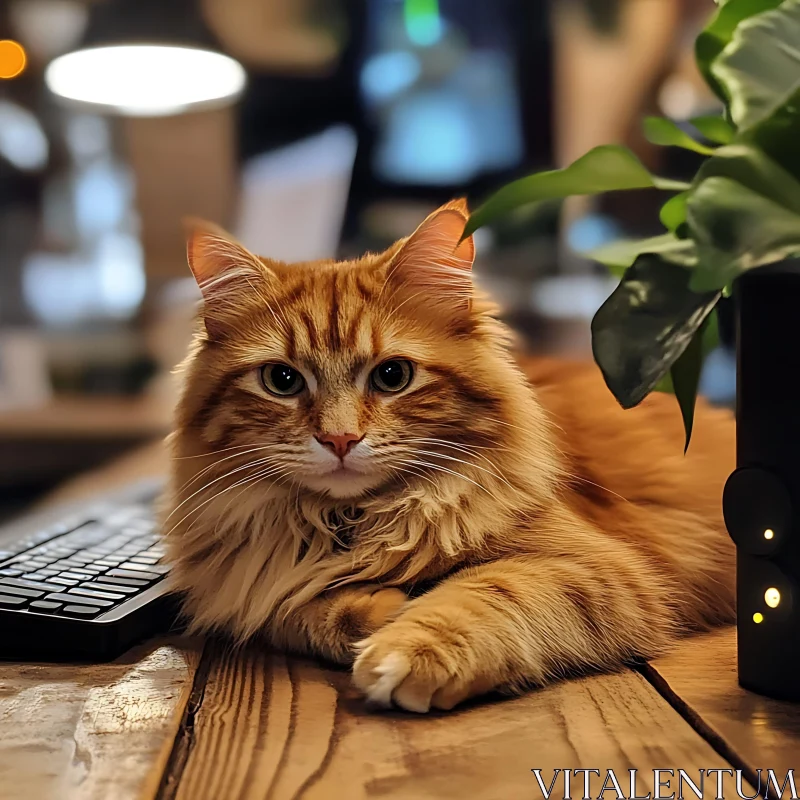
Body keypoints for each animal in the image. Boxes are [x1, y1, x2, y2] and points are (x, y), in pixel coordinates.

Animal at [164, 200, 736, 712]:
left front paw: (407, 647)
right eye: (282, 381)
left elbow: (486, 592)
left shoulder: (600, 569)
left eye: (392, 376)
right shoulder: (242, 586)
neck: (351, 522)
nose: (340, 439)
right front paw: (378, 607)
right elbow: (296, 610)